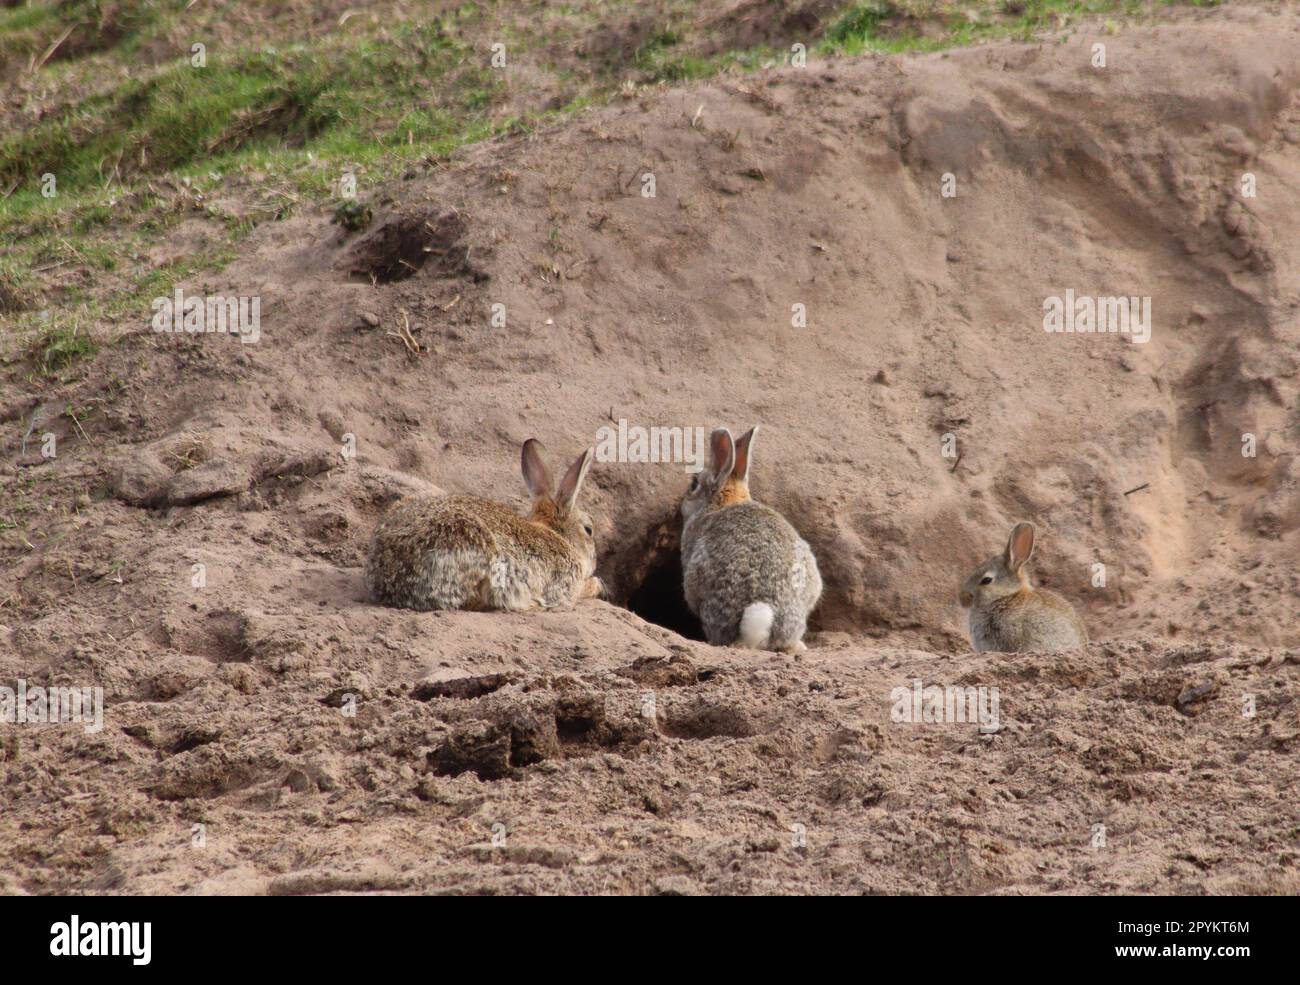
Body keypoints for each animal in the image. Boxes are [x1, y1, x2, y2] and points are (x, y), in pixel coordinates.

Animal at [364, 438, 602, 611]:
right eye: (588, 530)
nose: (594, 563)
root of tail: (389, 577)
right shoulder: (563, 586)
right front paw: (596, 584)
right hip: (470, 542)